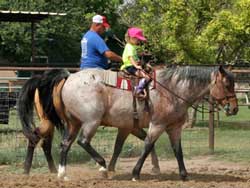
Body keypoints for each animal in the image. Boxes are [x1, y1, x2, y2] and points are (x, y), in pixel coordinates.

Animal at [18, 65, 238, 181]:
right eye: (227, 84)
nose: (234, 108)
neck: (171, 91)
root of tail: (69, 77)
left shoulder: (173, 128)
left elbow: (178, 151)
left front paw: (184, 175)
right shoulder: (156, 125)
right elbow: (148, 146)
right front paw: (135, 173)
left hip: (74, 123)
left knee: (64, 144)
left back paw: (62, 173)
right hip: (90, 121)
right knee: (81, 141)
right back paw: (102, 167)